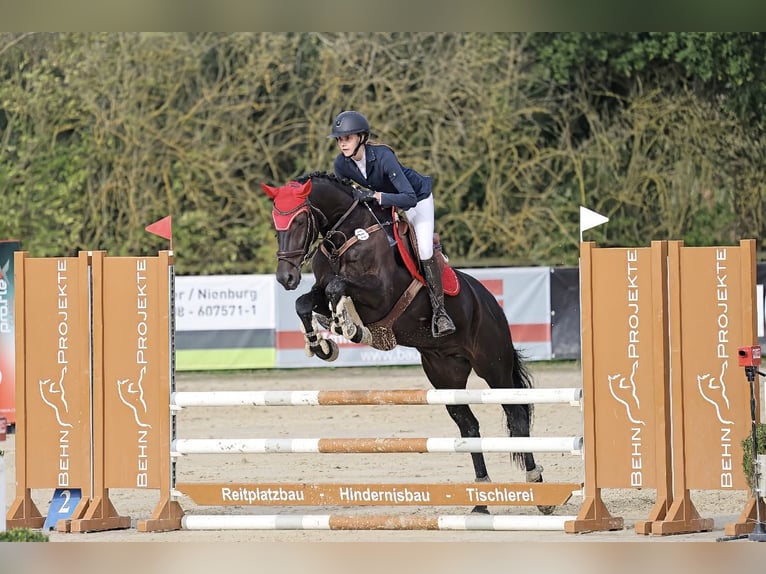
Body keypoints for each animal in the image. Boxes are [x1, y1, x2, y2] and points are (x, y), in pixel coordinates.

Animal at [264, 172, 552, 516]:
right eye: (276, 224)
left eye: (298, 221)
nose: (286, 278)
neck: (345, 238)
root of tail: (491, 302)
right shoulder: (321, 292)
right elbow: (305, 302)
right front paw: (322, 343)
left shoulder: (380, 295)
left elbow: (338, 287)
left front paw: (350, 327)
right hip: (444, 373)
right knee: (469, 426)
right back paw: (481, 500)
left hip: (492, 364)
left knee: (516, 414)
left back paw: (537, 486)